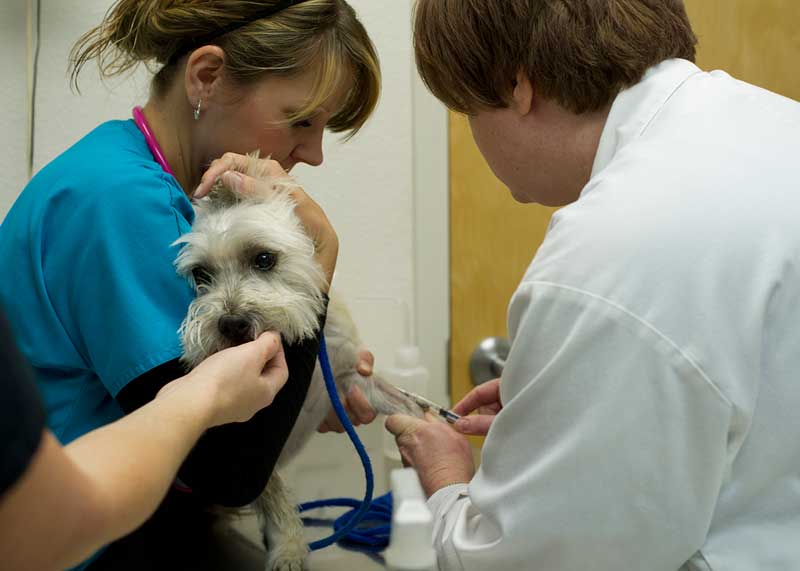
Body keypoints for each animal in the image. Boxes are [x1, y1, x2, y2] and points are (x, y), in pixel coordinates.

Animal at [174, 160, 422, 571]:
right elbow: (272, 494)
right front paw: (288, 549)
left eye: (264, 258)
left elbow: (415, 409)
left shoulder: (351, 374)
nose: (231, 324)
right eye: (201, 275)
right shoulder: (253, 451)